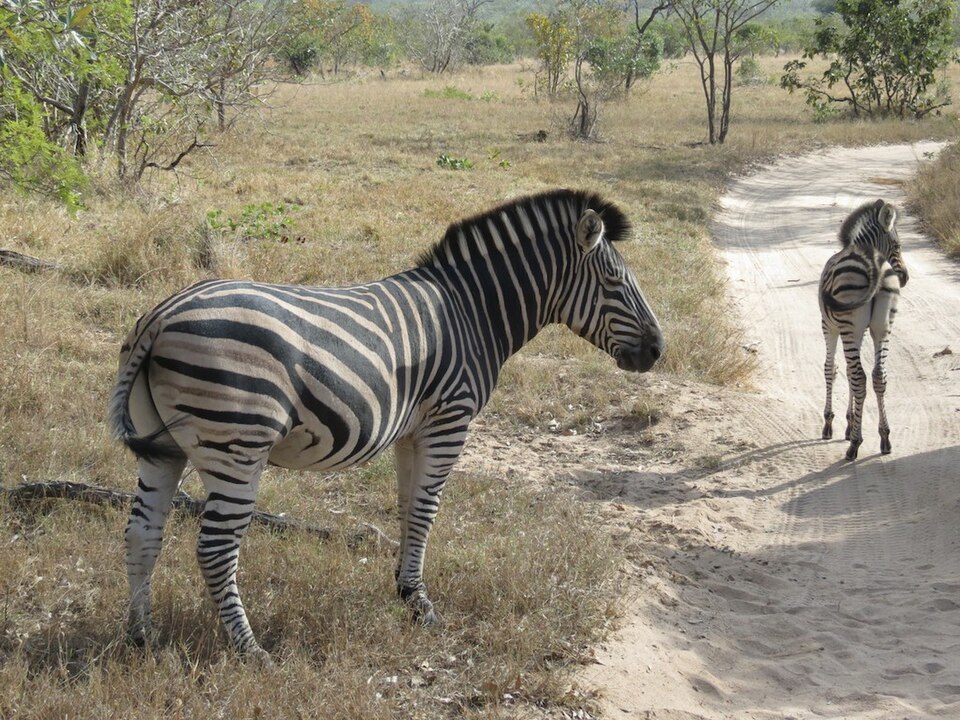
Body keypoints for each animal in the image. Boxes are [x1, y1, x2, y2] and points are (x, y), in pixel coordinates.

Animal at [110, 189, 665, 663]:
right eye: (615, 284)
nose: (658, 350)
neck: (472, 312)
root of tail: (159, 317)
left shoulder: (411, 430)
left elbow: (406, 506)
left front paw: (406, 591)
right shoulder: (449, 420)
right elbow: (426, 510)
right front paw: (423, 605)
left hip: (164, 448)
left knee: (142, 533)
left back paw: (142, 636)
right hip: (238, 445)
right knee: (215, 548)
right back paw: (251, 651)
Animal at [819, 199, 908, 461]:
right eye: (897, 245)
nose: (905, 278)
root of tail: (874, 262)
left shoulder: (829, 325)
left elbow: (832, 369)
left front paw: (831, 424)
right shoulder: (858, 329)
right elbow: (847, 372)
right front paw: (850, 423)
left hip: (850, 325)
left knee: (860, 377)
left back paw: (854, 445)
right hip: (883, 326)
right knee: (878, 375)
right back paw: (885, 438)